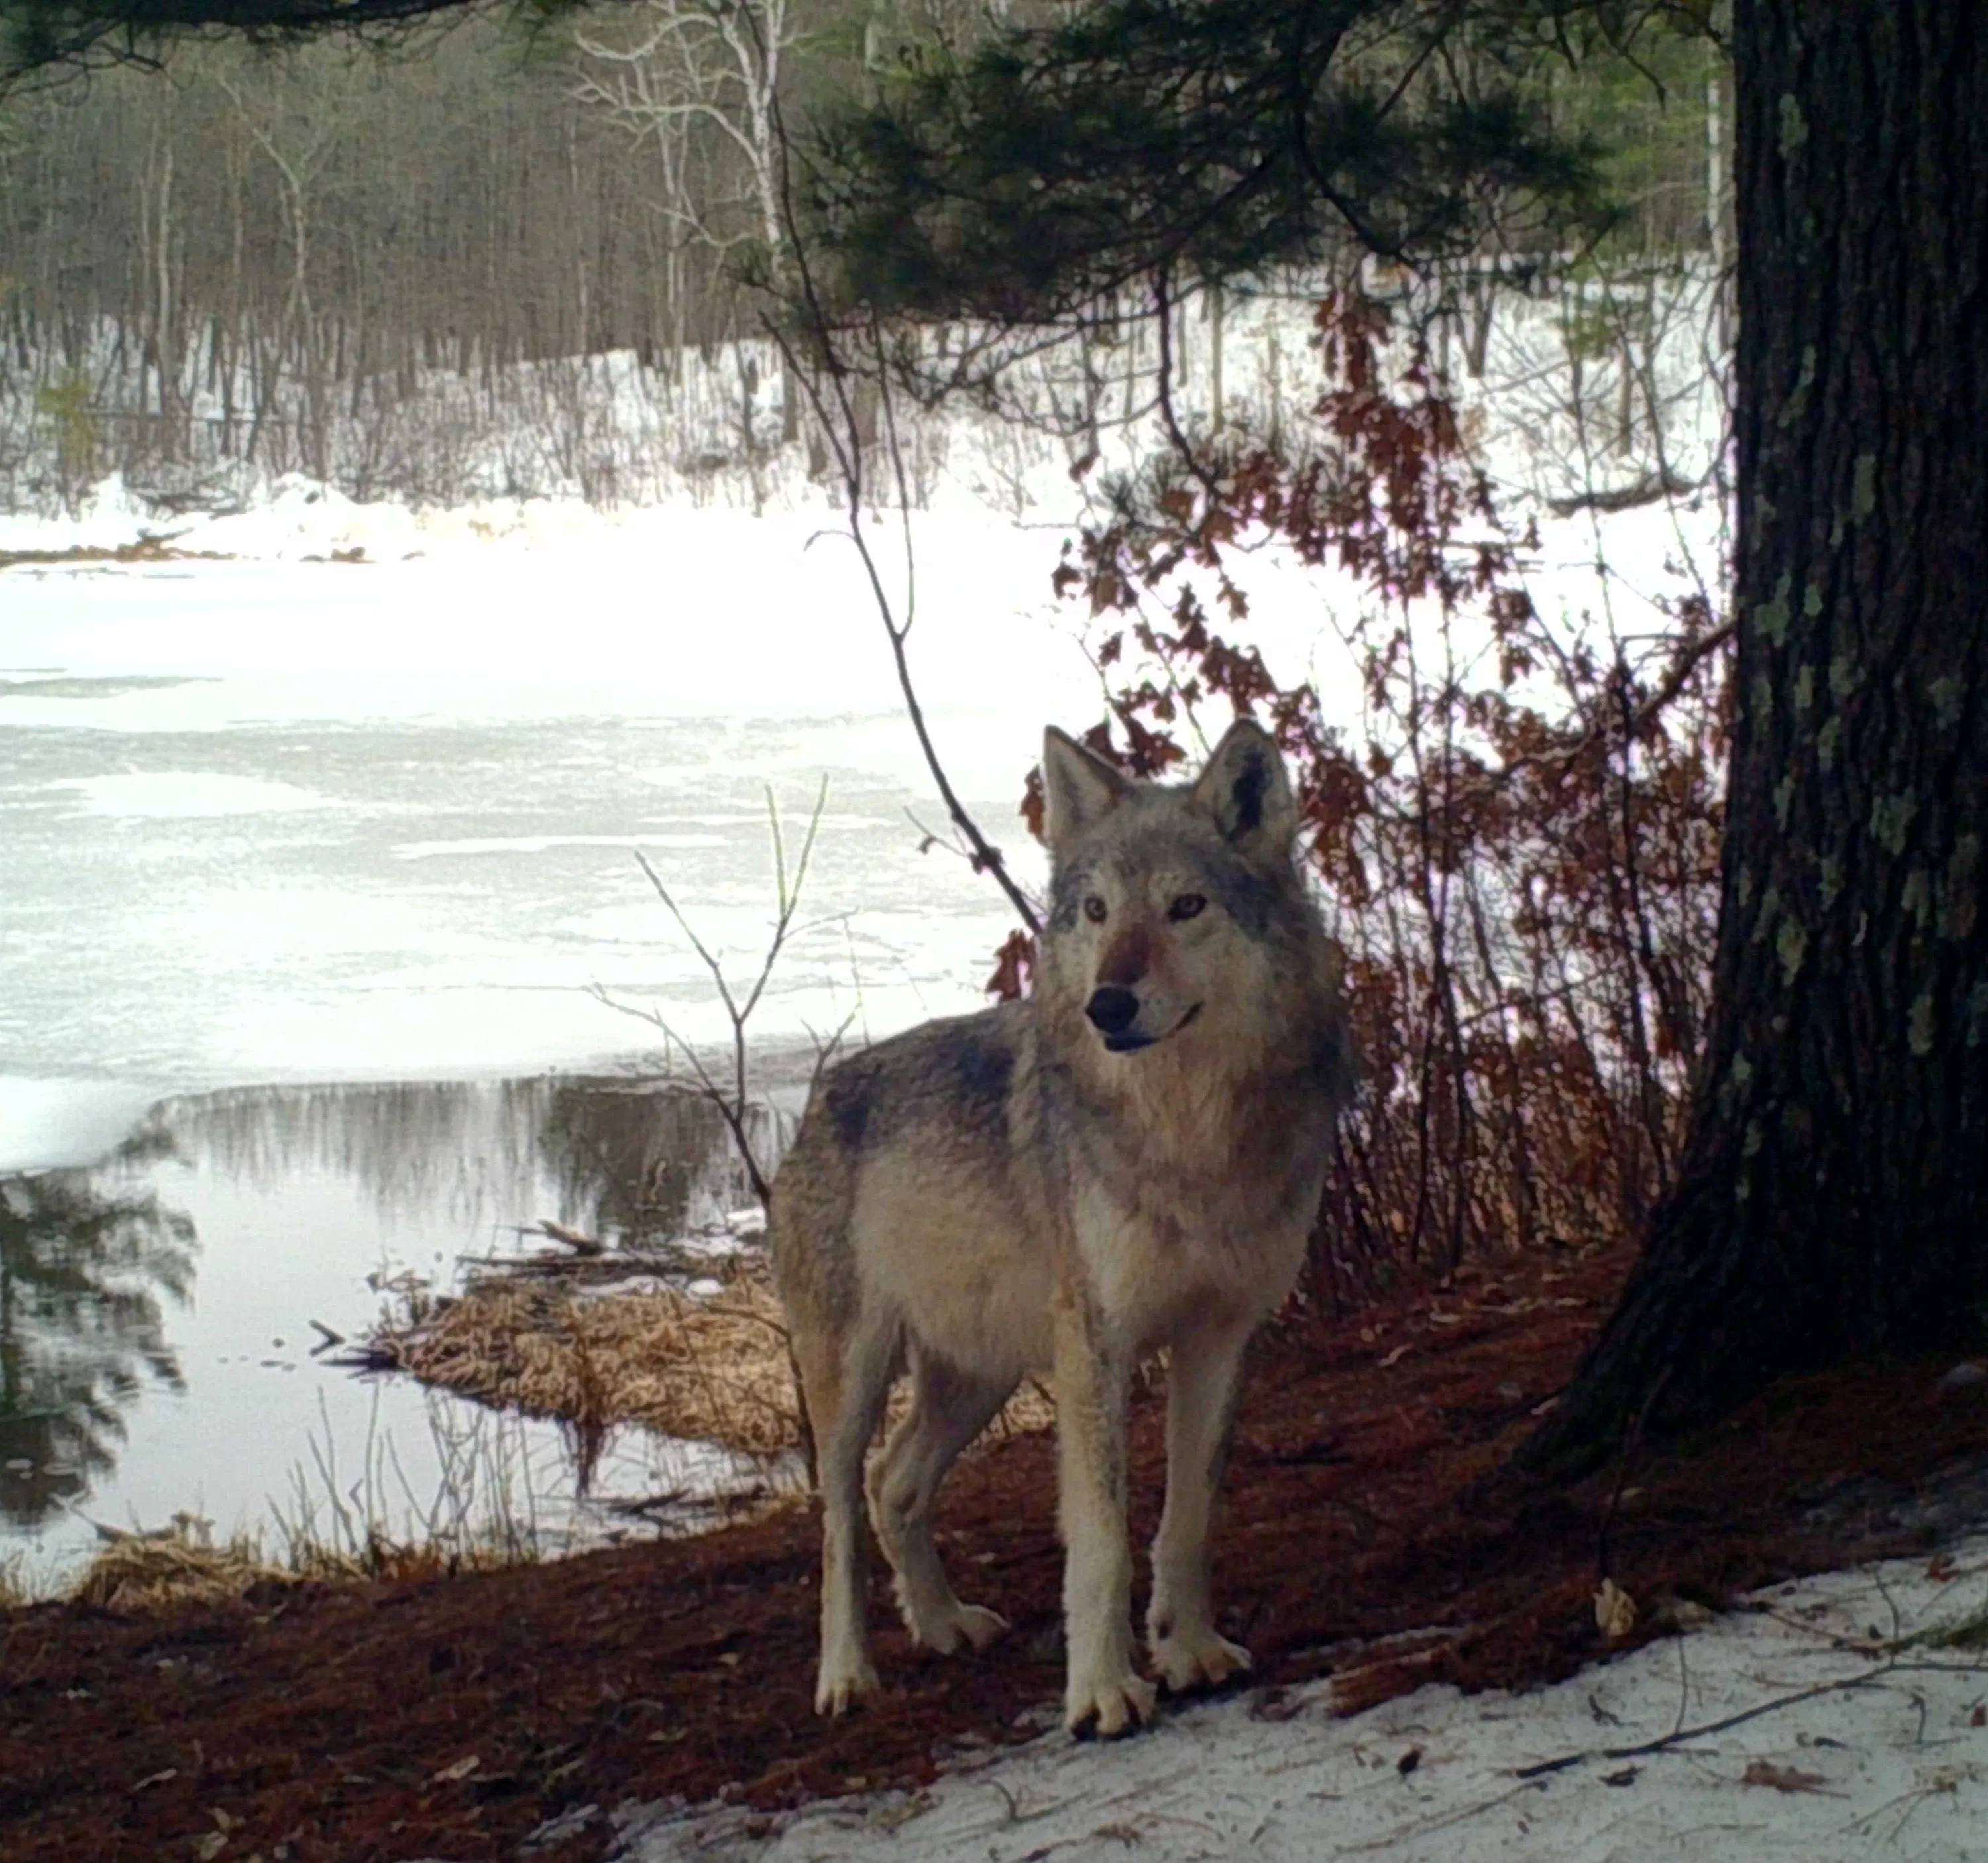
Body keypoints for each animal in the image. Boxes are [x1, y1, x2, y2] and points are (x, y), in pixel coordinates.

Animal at [770, 719, 1354, 1737]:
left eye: (1185, 906)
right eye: (1094, 911)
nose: (1108, 1004)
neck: (1188, 1137)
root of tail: (819, 1094)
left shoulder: (1221, 1334)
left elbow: (1189, 1518)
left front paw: (1191, 1651)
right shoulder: (1098, 1350)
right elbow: (1102, 1540)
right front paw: (1103, 1692)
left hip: (978, 1374)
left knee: (894, 1484)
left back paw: (945, 1626)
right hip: (855, 1375)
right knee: (841, 1515)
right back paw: (846, 1677)